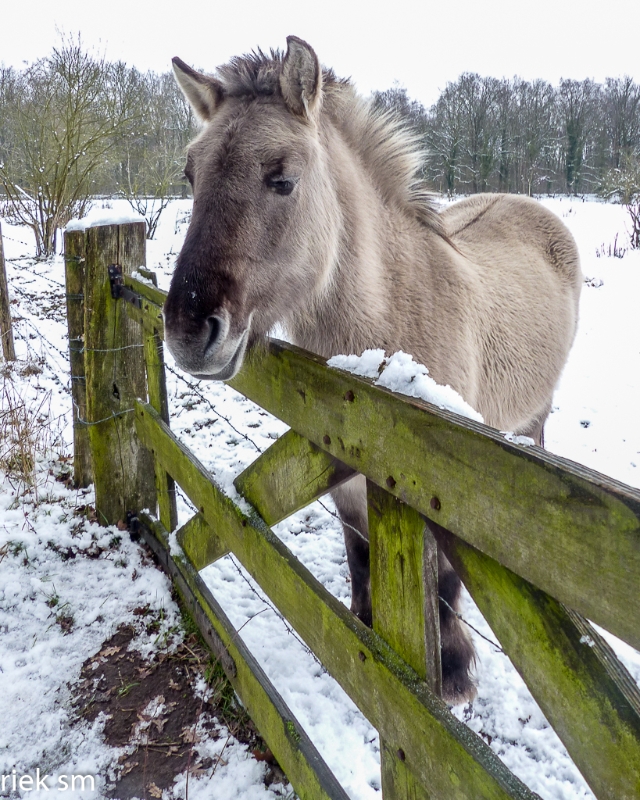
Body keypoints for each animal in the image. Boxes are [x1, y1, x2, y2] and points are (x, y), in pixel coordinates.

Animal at [162, 34, 584, 704]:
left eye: (283, 180)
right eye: (190, 174)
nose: (187, 331)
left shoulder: (447, 489)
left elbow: (445, 583)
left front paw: (452, 673)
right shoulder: (345, 480)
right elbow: (361, 558)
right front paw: (362, 638)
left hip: (531, 420)